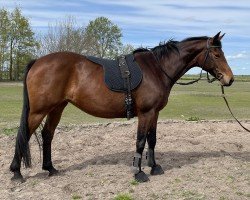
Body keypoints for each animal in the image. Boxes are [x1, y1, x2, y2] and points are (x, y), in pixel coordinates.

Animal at [10, 31, 234, 183]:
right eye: (217, 55)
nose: (229, 79)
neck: (157, 69)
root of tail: (38, 61)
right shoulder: (145, 113)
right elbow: (141, 141)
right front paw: (139, 172)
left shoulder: (154, 113)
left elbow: (152, 140)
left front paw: (154, 167)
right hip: (38, 111)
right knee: (24, 136)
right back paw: (17, 172)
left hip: (57, 107)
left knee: (47, 135)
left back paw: (50, 168)